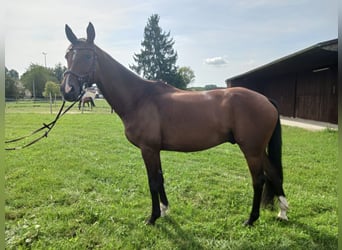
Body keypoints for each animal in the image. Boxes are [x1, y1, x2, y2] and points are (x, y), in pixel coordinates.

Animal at [60, 23, 288, 227]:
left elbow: (152, 181)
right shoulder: (155, 150)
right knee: (274, 174)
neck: (139, 97)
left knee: (259, 180)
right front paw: (164, 210)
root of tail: (266, 99)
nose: (68, 90)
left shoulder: (148, 149)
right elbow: (160, 179)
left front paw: (152, 218)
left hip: (251, 150)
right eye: (67, 56)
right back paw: (282, 213)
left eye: (88, 56)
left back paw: (251, 219)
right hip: (258, 150)